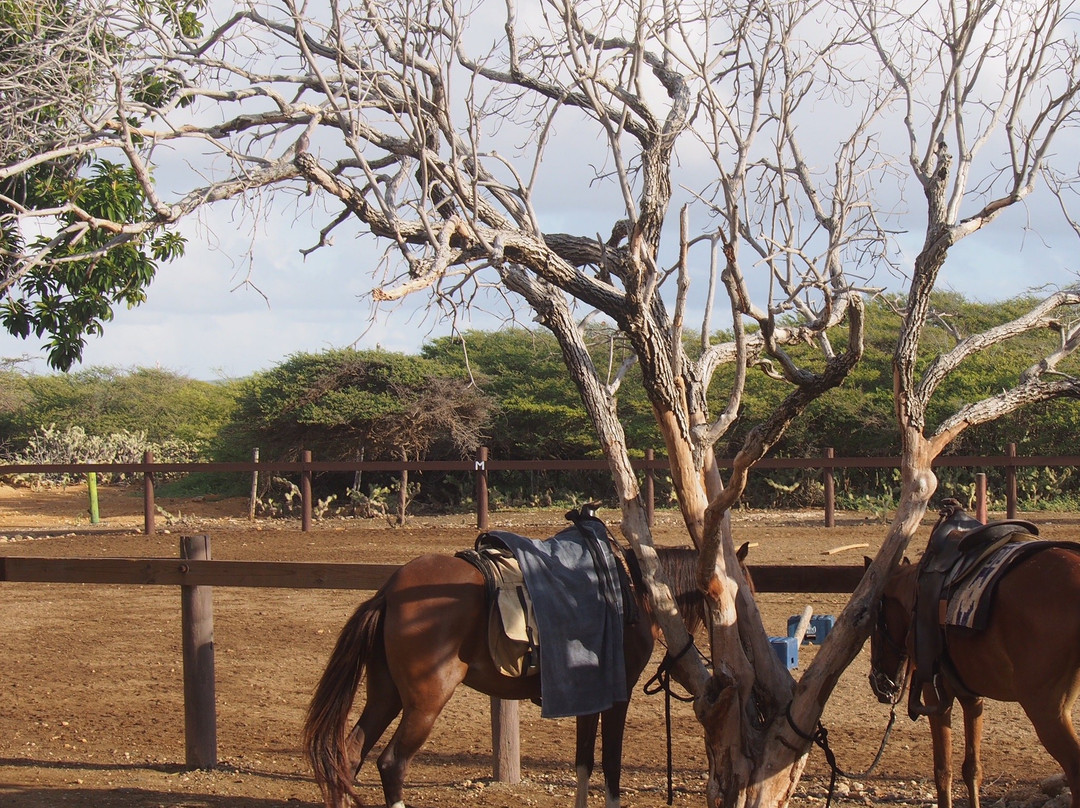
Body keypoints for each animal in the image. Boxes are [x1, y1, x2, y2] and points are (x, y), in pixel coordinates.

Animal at [303, 514, 747, 808]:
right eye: (734, 593)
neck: (634, 591)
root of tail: (389, 592)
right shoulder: (617, 696)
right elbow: (610, 765)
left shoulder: (592, 694)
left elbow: (584, 762)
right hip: (425, 701)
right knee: (392, 764)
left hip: (385, 694)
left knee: (349, 755)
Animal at [868, 548, 1080, 808]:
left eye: (873, 623)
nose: (877, 683)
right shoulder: (972, 698)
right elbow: (972, 768)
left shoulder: (935, 696)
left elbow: (942, 769)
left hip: (1048, 710)